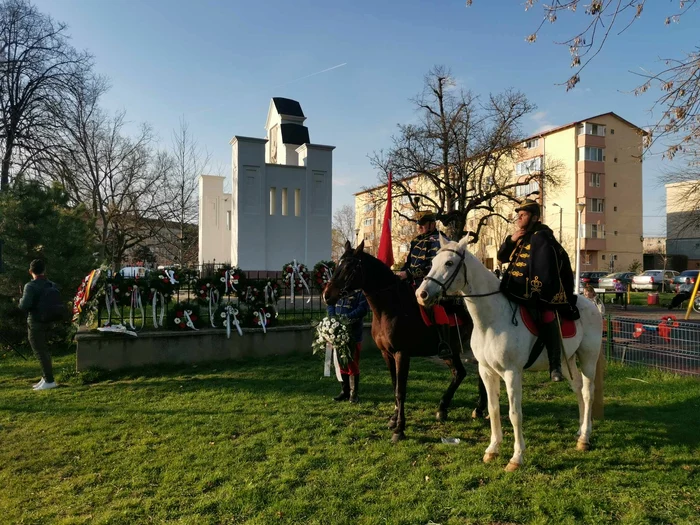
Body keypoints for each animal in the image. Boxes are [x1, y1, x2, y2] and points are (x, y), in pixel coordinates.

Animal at [324, 242, 484, 442]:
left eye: (348, 267)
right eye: (338, 265)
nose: (326, 295)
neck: (390, 308)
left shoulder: (402, 354)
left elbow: (400, 390)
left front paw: (399, 428)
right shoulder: (387, 354)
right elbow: (394, 386)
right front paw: (393, 419)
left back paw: (479, 409)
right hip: (451, 351)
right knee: (459, 373)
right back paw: (444, 408)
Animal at [416, 237, 600, 470]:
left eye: (449, 263)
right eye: (432, 262)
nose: (421, 294)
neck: (492, 320)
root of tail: (592, 305)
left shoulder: (512, 373)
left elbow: (514, 414)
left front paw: (516, 457)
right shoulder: (486, 372)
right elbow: (493, 409)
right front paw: (492, 449)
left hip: (588, 359)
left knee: (587, 392)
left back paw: (585, 437)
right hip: (567, 360)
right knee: (577, 388)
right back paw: (580, 430)